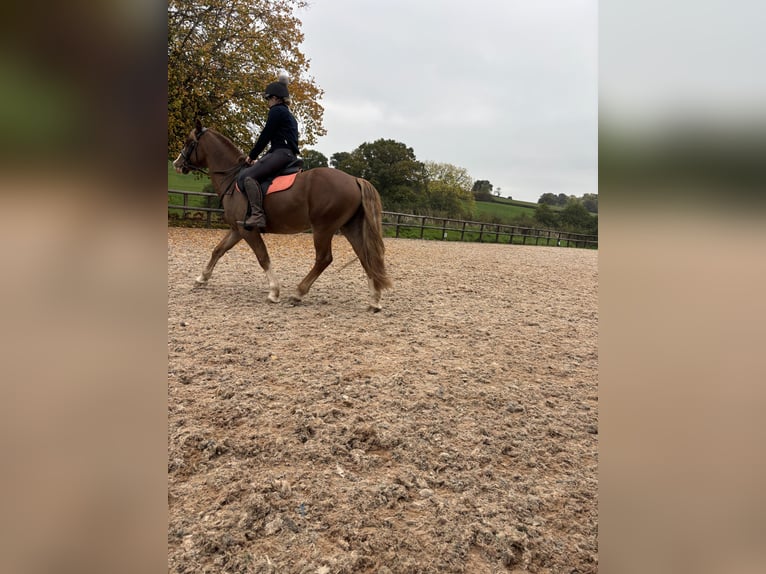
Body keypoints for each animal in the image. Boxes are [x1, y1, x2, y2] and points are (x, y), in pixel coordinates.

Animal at [172, 119, 392, 311]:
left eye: (189, 142)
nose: (177, 163)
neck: (233, 178)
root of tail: (355, 179)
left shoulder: (247, 230)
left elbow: (263, 257)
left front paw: (274, 292)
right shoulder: (237, 228)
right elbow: (218, 250)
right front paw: (201, 278)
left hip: (323, 228)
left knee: (324, 259)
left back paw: (298, 293)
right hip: (349, 227)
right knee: (365, 257)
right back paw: (374, 301)